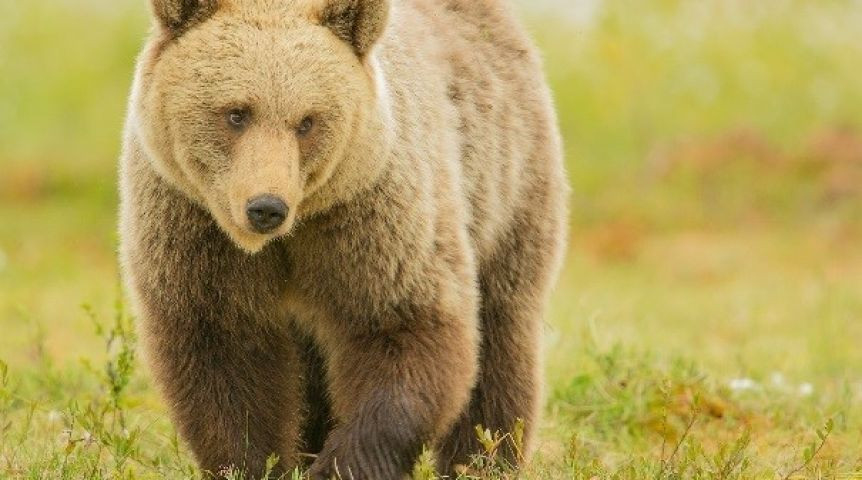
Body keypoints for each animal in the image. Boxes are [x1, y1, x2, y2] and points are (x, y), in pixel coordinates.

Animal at [120, 0, 568, 476]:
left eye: (307, 121)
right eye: (236, 113)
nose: (266, 207)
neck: (293, 233)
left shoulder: (372, 218)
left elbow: (403, 329)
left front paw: (340, 464)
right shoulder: (195, 230)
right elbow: (224, 357)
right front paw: (255, 462)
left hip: (506, 186)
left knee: (502, 339)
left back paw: (482, 460)